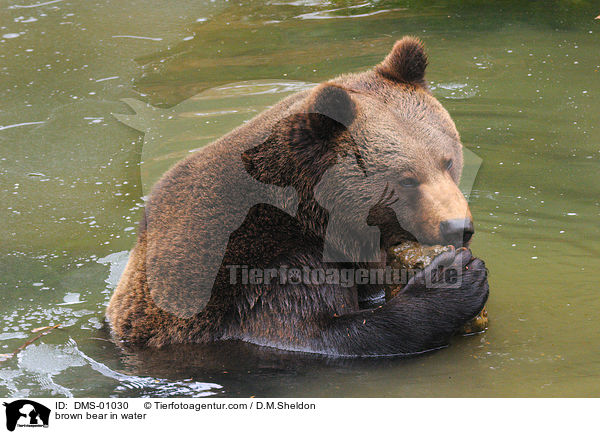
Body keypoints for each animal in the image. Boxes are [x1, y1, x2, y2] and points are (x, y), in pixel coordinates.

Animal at [108, 37, 490, 356]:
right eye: (407, 179)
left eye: (447, 161)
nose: (458, 226)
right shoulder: (266, 271)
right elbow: (319, 333)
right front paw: (456, 276)